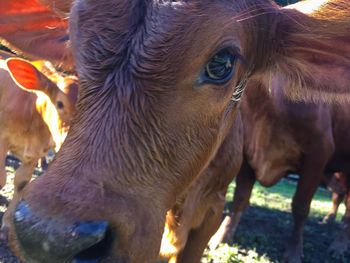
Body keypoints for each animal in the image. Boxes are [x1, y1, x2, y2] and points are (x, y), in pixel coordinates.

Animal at [0, 50, 78, 234]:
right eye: (60, 103)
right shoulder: (2, 139)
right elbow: (1, 178)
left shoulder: (36, 152)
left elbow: (21, 183)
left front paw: (7, 225)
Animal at [211, 78, 350, 262]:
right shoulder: (249, 152)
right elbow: (240, 199)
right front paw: (222, 237)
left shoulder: (319, 152)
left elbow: (300, 206)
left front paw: (293, 253)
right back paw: (329, 221)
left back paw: (338, 246)